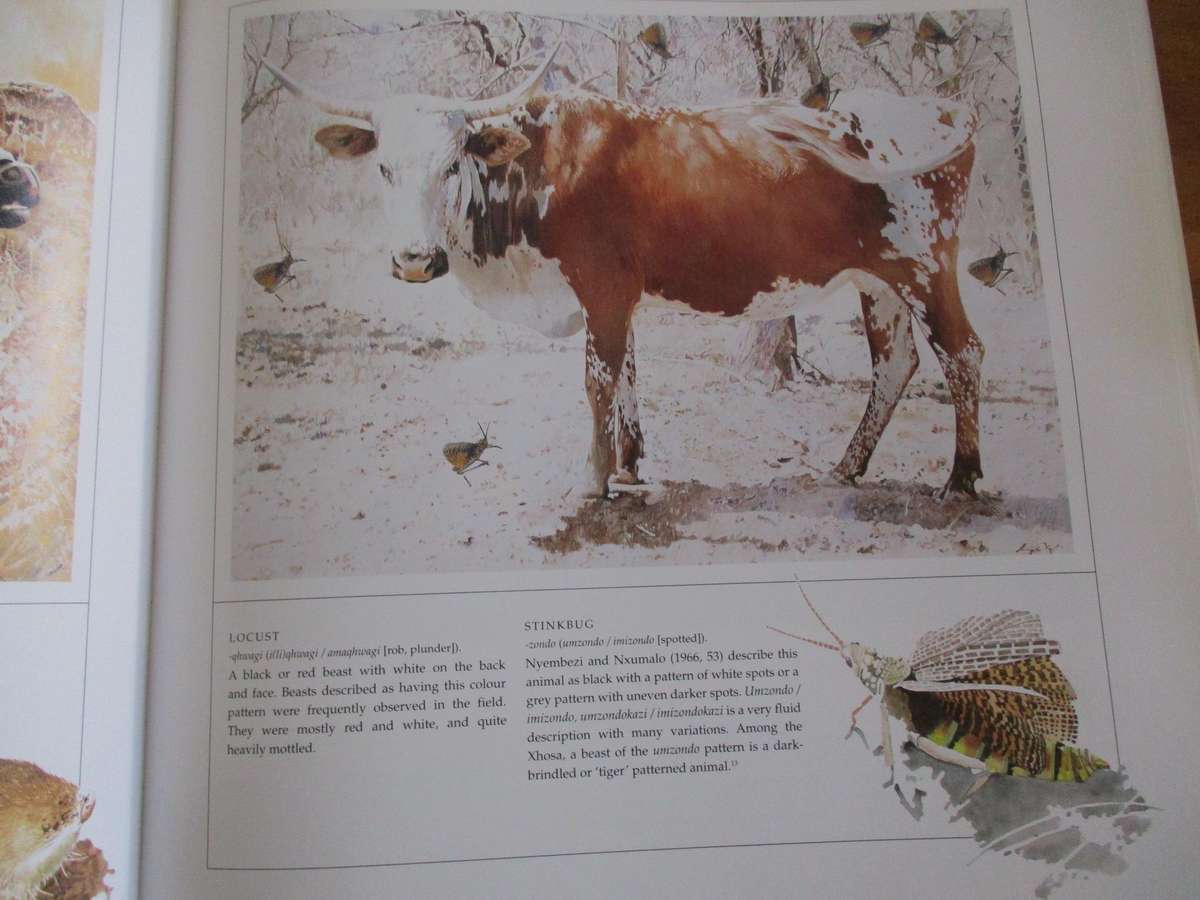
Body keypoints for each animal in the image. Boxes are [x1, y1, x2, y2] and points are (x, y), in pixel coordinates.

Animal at [257, 47, 985, 500]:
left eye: (452, 163)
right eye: (383, 168)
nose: (414, 259)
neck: (541, 170)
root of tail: (941, 107)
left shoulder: (603, 290)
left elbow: (597, 382)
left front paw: (592, 479)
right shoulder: (620, 298)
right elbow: (628, 375)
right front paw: (630, 466)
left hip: (926, 266)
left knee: (962, 353)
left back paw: (962, 478)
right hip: (879, 281)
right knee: (895, 363)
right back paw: (848, 467)